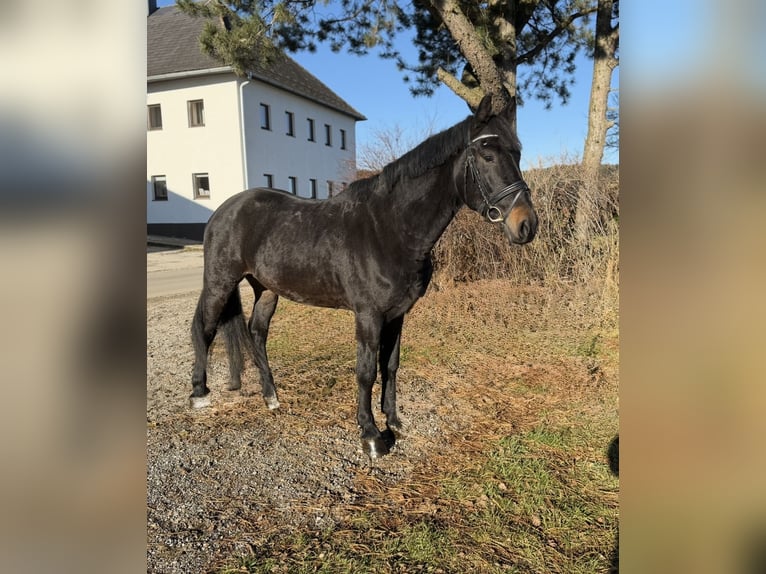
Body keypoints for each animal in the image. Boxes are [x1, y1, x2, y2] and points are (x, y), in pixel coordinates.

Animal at [189, 94, 538, 458]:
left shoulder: (397, 314)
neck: (389, 227)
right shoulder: (368, 315)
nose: (526, 225)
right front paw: (371, 435)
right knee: (204, 329)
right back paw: (199, 394)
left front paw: (394, 420)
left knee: (257, 333)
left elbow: (391, 364)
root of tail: (225, 209)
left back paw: (271, 398)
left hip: (267, 288)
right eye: (487, 155)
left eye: (517, 153)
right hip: (219, 282)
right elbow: (366, 371)